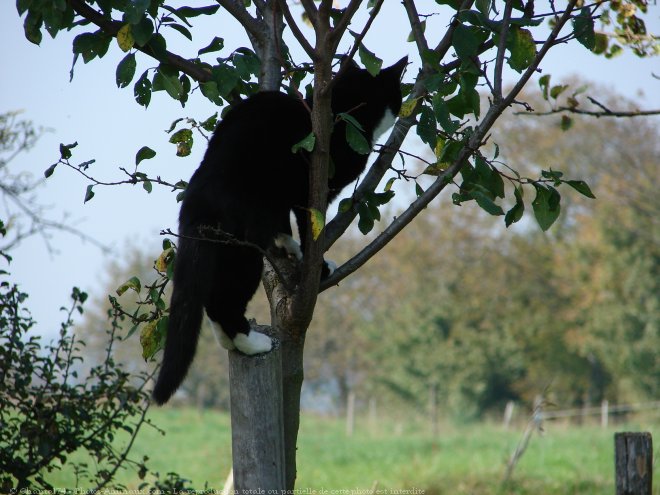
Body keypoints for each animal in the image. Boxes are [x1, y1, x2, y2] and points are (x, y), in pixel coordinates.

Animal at [151, 59, 404, 406]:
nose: (406, 110)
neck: (340, 112)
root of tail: (198, 193)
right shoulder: (311, 192)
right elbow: (311, 231)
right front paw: (316, 265)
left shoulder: (281, 203)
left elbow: (284, 226)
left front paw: (289, 247)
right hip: (243, 249)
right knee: (222, 299)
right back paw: (250, 342)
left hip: (225, 246)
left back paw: (230, 340)